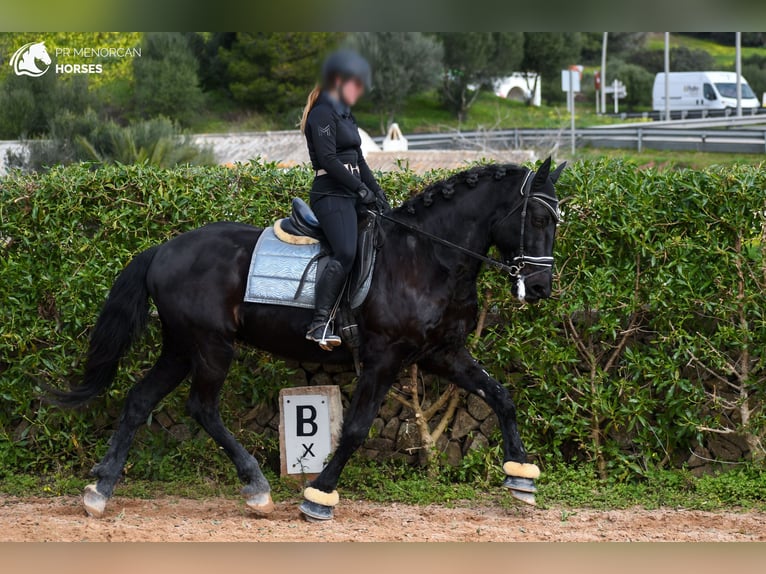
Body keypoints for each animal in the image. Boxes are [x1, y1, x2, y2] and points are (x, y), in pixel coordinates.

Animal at [52, 158, 564, 520]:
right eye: (539, 219)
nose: (540, 288)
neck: (428, 257)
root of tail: (162, 249)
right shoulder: (384, 357)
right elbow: (356, 428)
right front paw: (319, 495)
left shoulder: (444, 352)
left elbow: (500, 396)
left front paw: (521, 476)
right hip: (211, 346)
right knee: (202, 408)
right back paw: (256, 487)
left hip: (181, 346)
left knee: (141, 400)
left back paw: (100, 490)